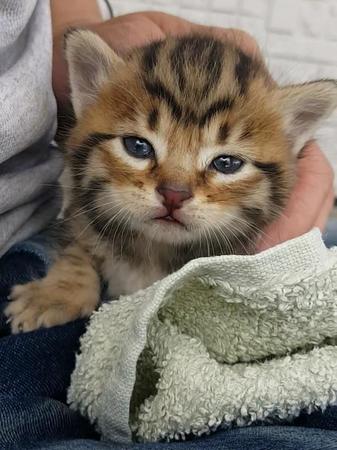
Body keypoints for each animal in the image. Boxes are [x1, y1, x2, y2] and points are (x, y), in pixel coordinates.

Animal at [5, 27, 336, 330]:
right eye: (137, 147)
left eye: (226, 163)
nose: (174, 194)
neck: (155, 251)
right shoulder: (81, 216)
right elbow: (76, 250)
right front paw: (53, 295)